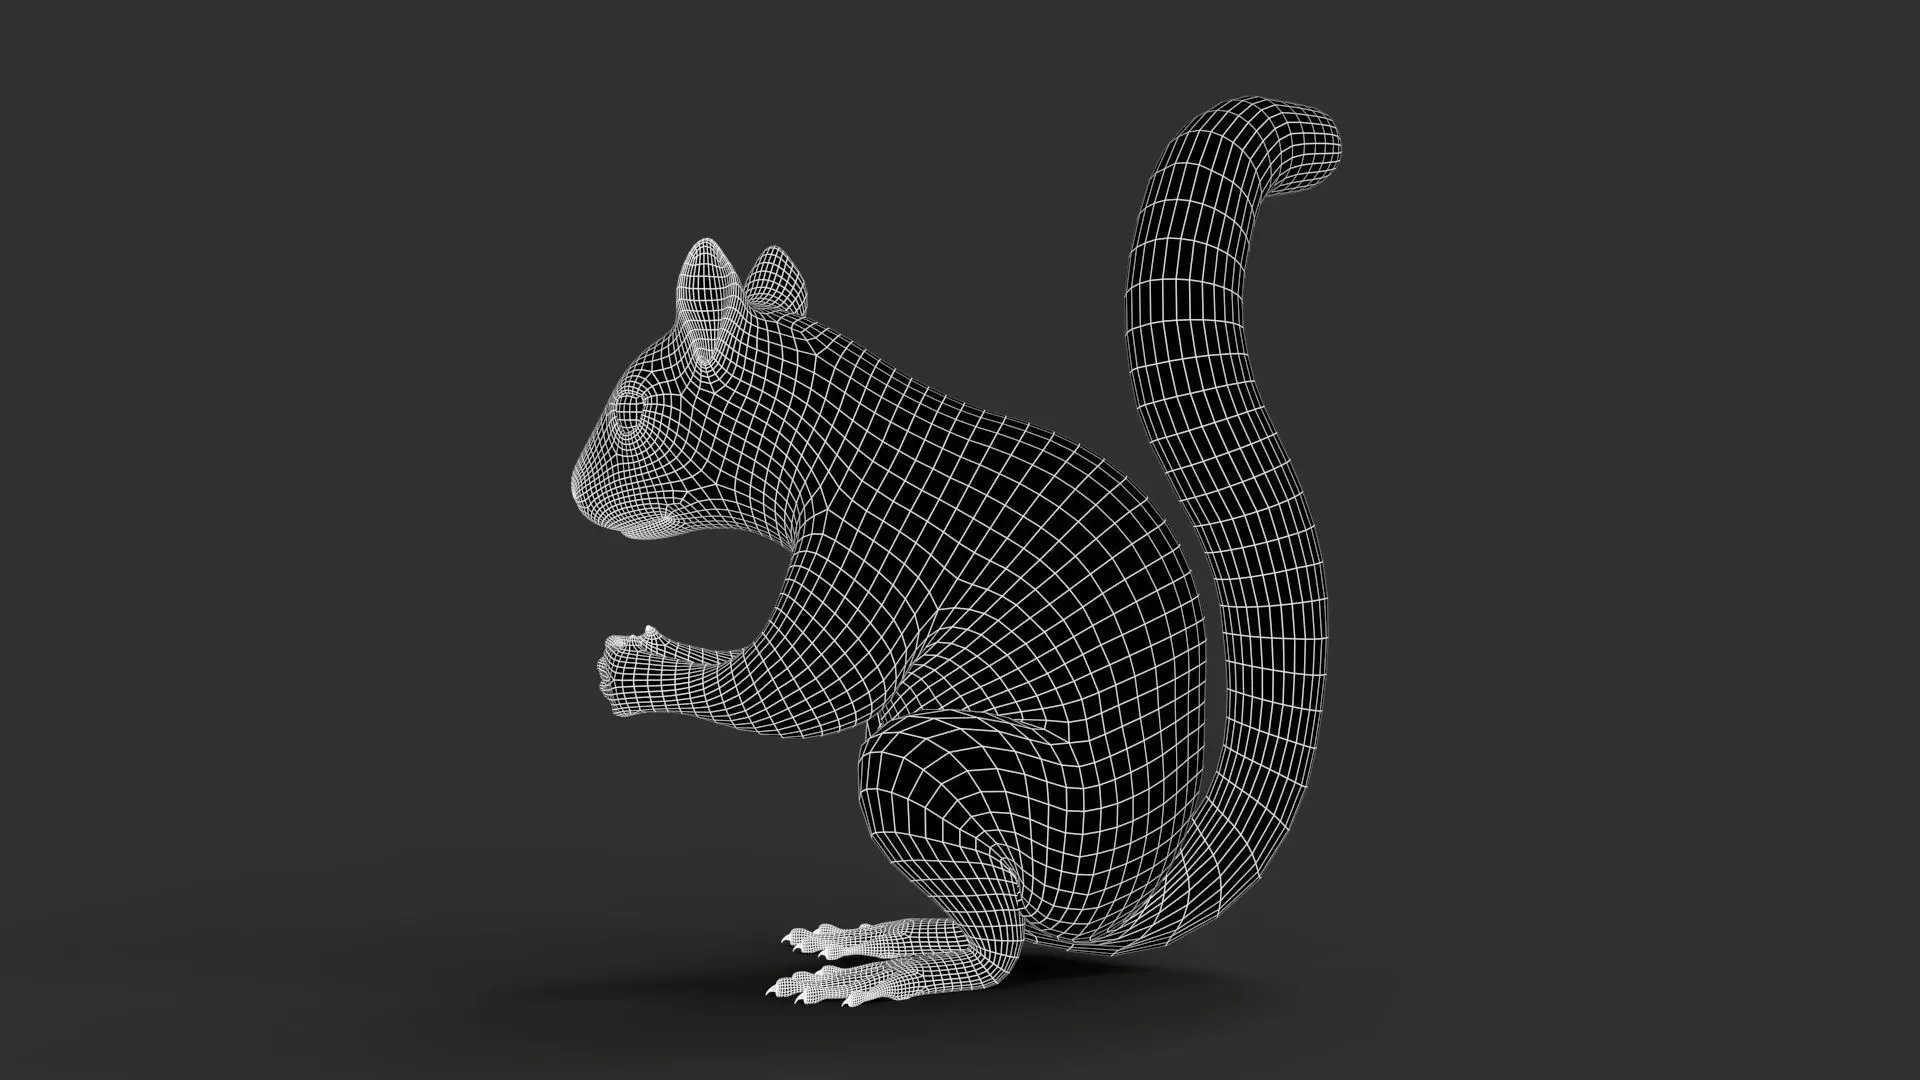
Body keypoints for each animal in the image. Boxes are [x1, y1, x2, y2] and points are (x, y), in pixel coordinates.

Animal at [573, 97, 1339, 1006]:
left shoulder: (871, 543)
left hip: (948, 773)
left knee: (999, 943)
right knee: (992, 920)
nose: (573, 491)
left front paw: (633, 670)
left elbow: (797, 689)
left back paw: (896, 971)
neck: (831, 430)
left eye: (630, 411)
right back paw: (877, 936)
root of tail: (1121, 906)